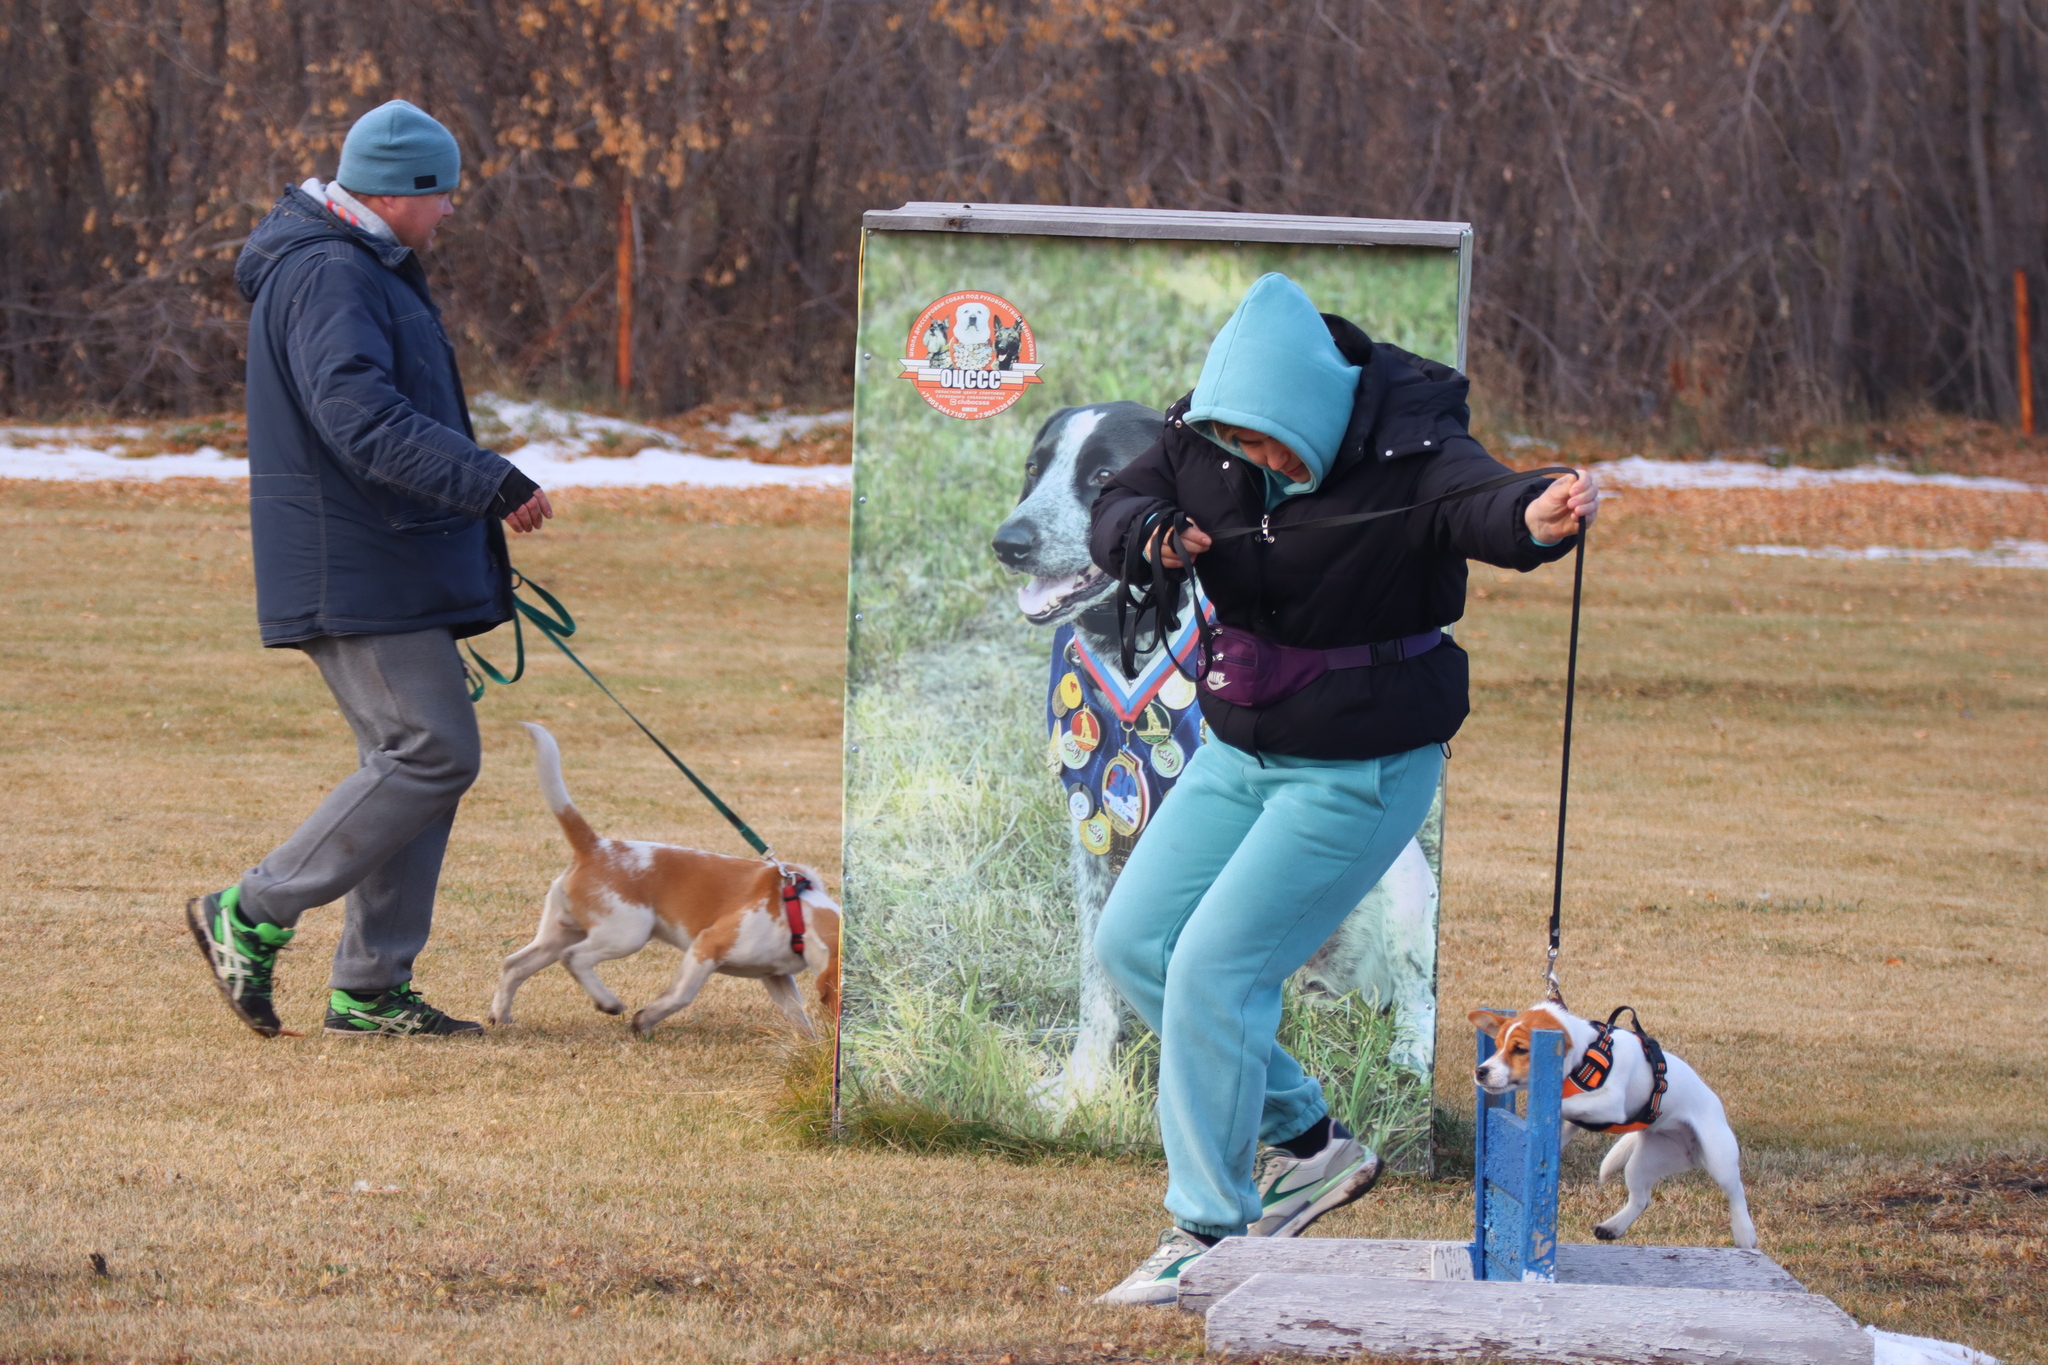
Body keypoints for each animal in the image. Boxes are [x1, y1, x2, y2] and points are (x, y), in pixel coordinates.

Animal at [489, 724, 839, 1035]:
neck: (797, 913)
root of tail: (596, 846)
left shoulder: (775, 976)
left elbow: (797, 1017)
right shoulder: (705, 948)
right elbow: (681, 995)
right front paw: (643, 1021)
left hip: (560, 933)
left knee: (514, 965)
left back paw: (500, 1016)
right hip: (628, 933)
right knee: (573, 958)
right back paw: (608, 1003)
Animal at [991, 403, 1441, 1096]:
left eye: (1104, 477)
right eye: (1032, 469)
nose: (1009, 542)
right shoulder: (1092, 836)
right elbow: (1098, 985)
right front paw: (1084, 1084)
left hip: (1403, 874)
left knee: (1418, 989)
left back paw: (1412, 1052)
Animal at [1466, 1002, 1753, 1252]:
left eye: (1521, 1050)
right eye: (1497, 1046)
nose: (1481, 1071)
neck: (1586, 1054)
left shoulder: (1611, 1103)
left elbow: (1566, 1101)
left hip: (1718, 1157)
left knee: (1736, 1191)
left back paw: (1744, 1233)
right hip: (1644, 1163)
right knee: (1641, 1199)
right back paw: (1612, 1227)